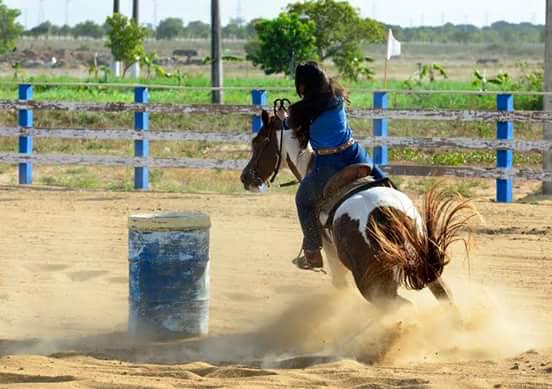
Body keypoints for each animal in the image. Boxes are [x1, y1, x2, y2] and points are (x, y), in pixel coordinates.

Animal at [239, 109, 476, 310]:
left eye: (259, 142)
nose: (245, 177)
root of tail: (383, 212)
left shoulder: (333, 257)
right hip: (426, 267)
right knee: (446, 298)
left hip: (373, 285)